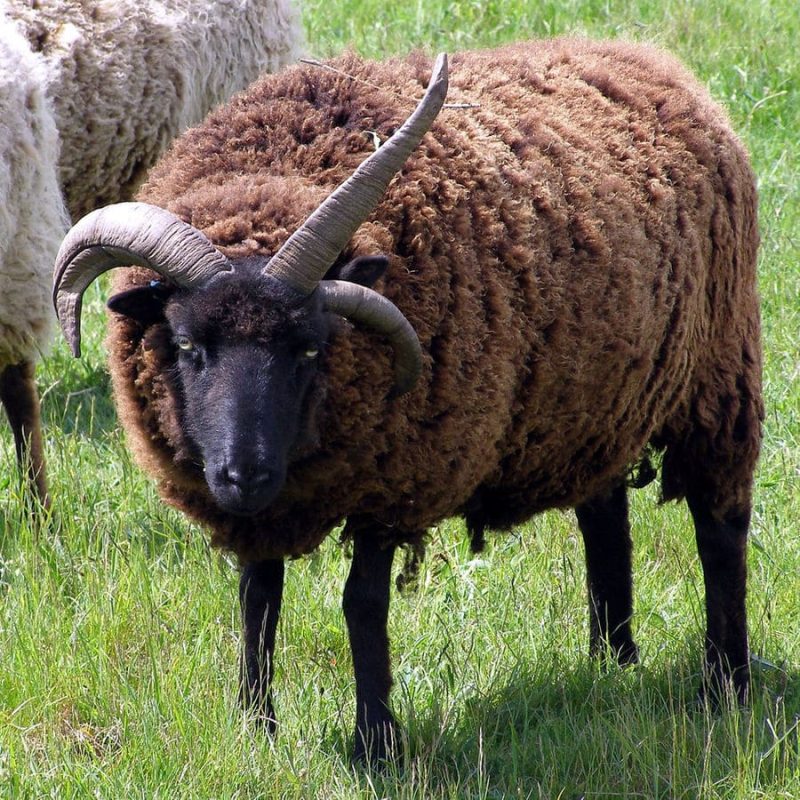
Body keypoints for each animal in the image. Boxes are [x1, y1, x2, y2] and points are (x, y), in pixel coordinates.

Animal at [51, 39, 764, 764]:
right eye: (188, 345)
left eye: (310, 349)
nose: (242, 473)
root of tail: (654, 61)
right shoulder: (268, 507)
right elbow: (258, 597)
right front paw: (257, 728)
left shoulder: (394, 482)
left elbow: (362, 603)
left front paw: (376, 741)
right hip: (598, 405)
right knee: (606, 517)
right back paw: (611, 661)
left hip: (719, 375)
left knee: (721, 528)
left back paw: (725, 684)